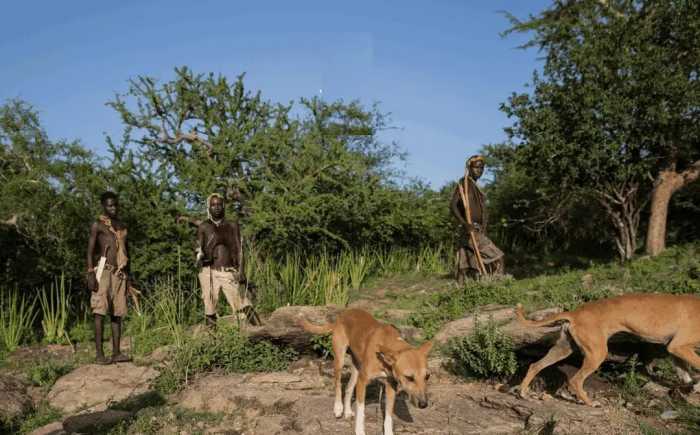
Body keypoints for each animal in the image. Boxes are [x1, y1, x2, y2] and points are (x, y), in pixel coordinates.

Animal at [300, 310, 432, 435]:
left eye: (427, 376)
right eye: (409, 377)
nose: (424, 405)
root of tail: (343, 314)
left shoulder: (390, 387)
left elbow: (388, 416)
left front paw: (388, 432)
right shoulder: (363, 382)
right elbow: (361, 410)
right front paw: (359, 431)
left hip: (356, 369)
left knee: (348, 388)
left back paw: (347, 411)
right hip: (340, 360)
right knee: (337, 383)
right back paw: (338, 408)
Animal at [516, 294, 700, 408]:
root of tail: (574, 313)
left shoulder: (675, 352)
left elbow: (685, 374)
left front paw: (693, 387)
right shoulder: (679, 346)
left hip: (562, 349)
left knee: (535, 366)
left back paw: (523, 393)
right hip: (597, 354)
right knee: (575, 380)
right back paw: (590, 403)